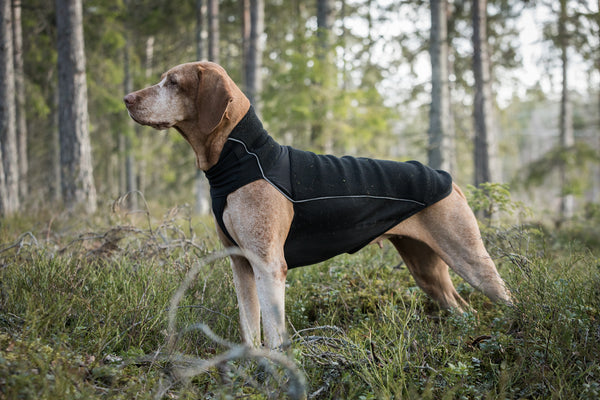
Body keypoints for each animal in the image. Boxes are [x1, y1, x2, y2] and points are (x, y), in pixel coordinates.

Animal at [123, 61, 510, 348]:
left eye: (173, 82)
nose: (126, 99)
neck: (240, 157)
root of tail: (448, 178)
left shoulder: (268, 266)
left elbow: (273, 335)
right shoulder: (241, 265)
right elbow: (250, 331)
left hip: (471, 260)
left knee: (508, 300)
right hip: (426, 269)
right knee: (464, 309)